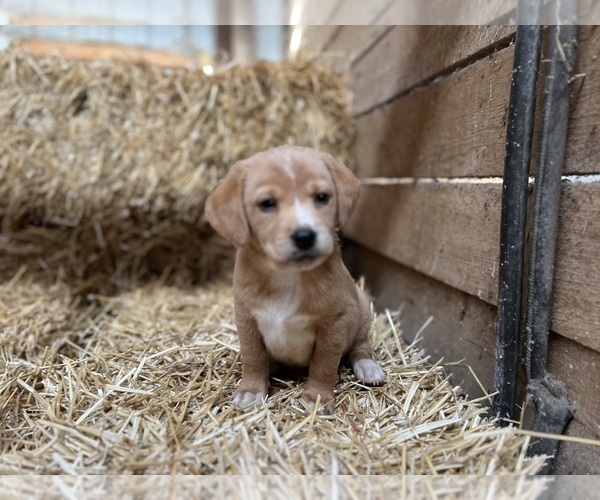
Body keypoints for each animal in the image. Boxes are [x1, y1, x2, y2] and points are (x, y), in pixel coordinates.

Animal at [205, 146, 384, 414]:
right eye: (267, 203)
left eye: (321, 197)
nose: (304, 236)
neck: (287, 276)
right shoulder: (246, 318)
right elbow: (253, 358)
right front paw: (251, 390)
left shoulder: (335, 323)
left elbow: (324, 365)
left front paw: (317, 397)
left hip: (362, 310)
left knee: (360, 347)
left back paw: (368, 367)